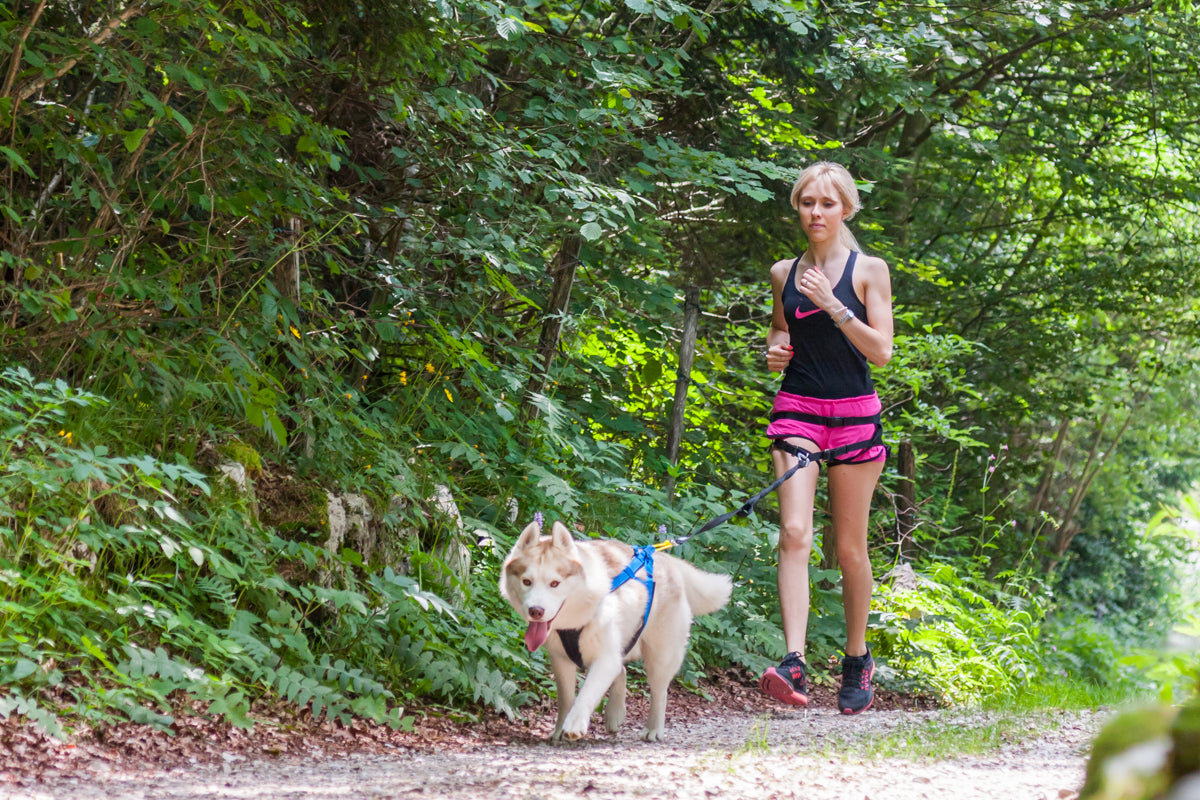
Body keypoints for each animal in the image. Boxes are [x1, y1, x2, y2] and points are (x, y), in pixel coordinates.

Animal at [496, 522, 729, 743]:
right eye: (527, 581)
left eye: (555, 583)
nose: (536, 611)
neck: (576, 618)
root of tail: (666, 559)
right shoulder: (560, 660)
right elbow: (566, 698)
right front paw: (560, 728)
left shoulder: (604, 657)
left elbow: (587, 692)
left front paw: (575, 723)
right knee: (622, 670)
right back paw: (615, 715)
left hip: (661, 656)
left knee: (659, 691)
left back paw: (654, 729)